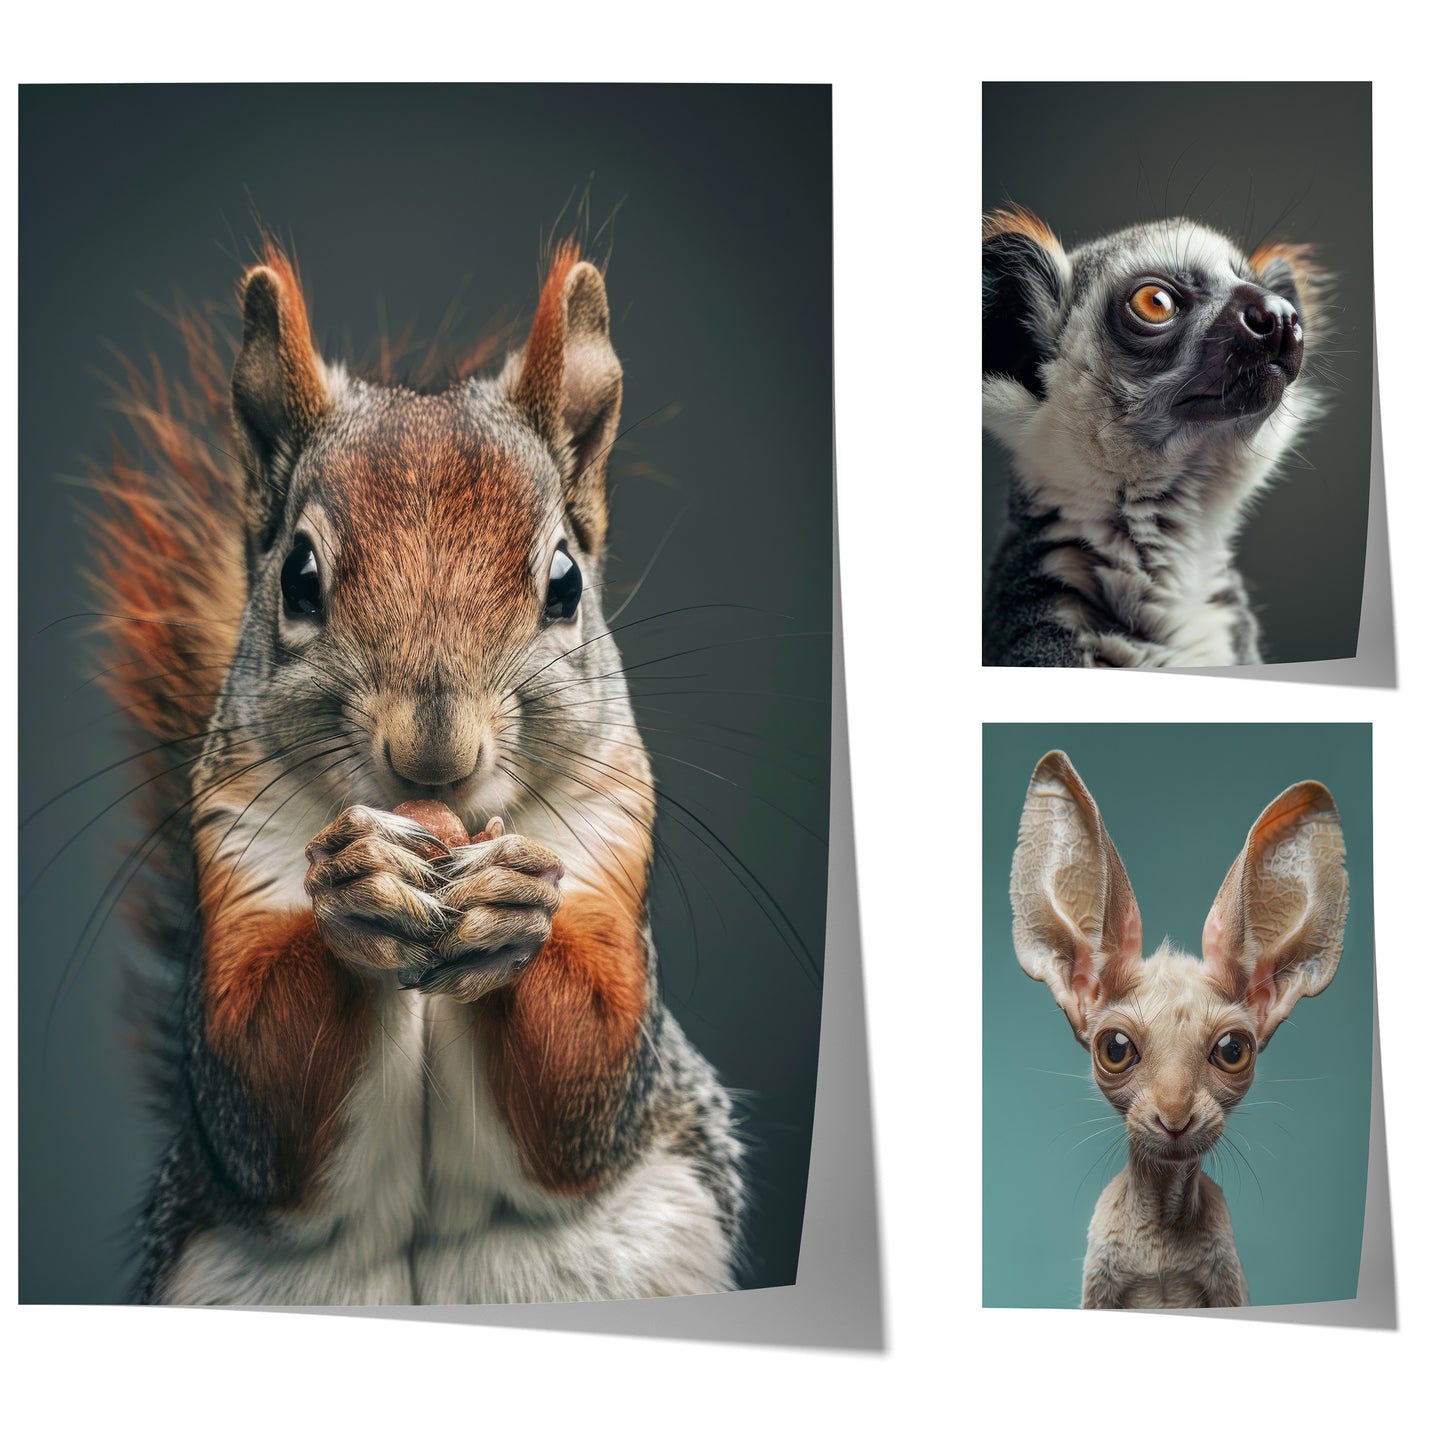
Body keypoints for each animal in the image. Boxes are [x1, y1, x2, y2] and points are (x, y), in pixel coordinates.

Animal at [90, 239, 743, 1305]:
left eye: (565, 582)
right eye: (298, 577)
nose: (433, 753)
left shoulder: (610, 840)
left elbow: (590, 1068)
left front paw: (515, 902)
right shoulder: (231, 848)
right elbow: (253, 1084)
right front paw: (356, 888)